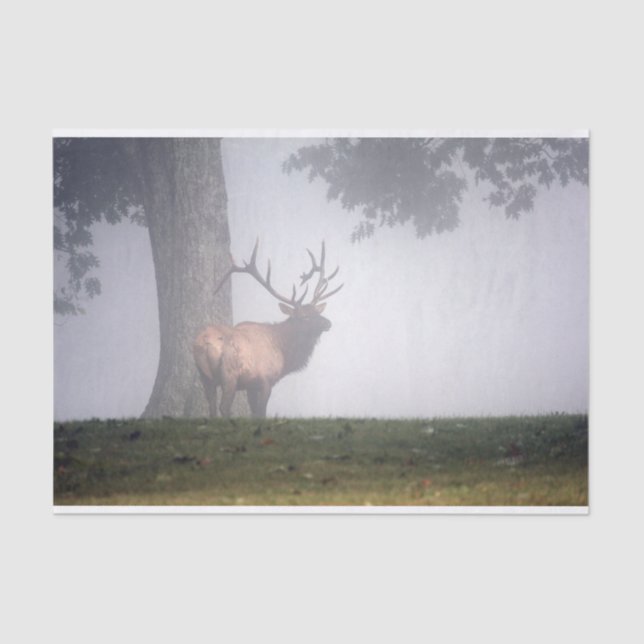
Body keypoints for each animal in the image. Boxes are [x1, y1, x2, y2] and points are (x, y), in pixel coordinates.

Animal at [193, 240, 343, 418]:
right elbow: (260, 413)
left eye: (317, 312)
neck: (284, 352)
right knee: (224, 407)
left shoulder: (250, 385)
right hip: (229, 375)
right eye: (305, 316)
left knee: (211, 408)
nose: (328, 323)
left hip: (205, 377)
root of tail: (204, 342)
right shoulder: (265, 380)